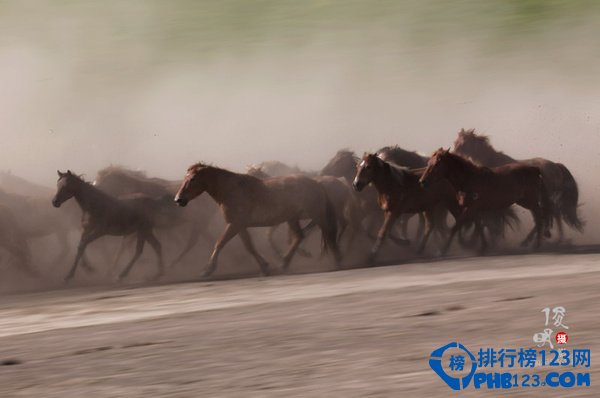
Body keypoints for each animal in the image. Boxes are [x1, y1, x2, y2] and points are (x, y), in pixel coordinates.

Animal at [173, 162, 340, 276]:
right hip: (292, 218)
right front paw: (265, 267)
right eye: (185, 178)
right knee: (299, 236)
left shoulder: (235, 224)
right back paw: (284, 263)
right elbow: (249, 246)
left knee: (329, 234)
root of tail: (317, 183)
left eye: (193, 179)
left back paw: (338, 260)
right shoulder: (239, 225)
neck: (230, 191)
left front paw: (208, 270)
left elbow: (220, 243)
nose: (178, 199)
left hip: (316, 215)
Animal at [418, 149, 552, 255]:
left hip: (530, 201)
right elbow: (479, 226)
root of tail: (535, 169)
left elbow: (457, 226)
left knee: (539, 216)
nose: (422, 181)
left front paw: (443, 250)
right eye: (428, 163)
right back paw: (529, 242)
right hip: (524, 201)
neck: (469, 180)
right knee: (538, 217)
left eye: (436, 164)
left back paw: (535, 245)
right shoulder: (475, 209)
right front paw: (482, 247)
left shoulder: (471, 208)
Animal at [452, 128, 584, 239]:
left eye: (462, 143)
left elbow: (496, 217)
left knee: (548, 212)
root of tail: (556, 165)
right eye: (455, 142)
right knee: (552, 212)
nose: (453, 156)